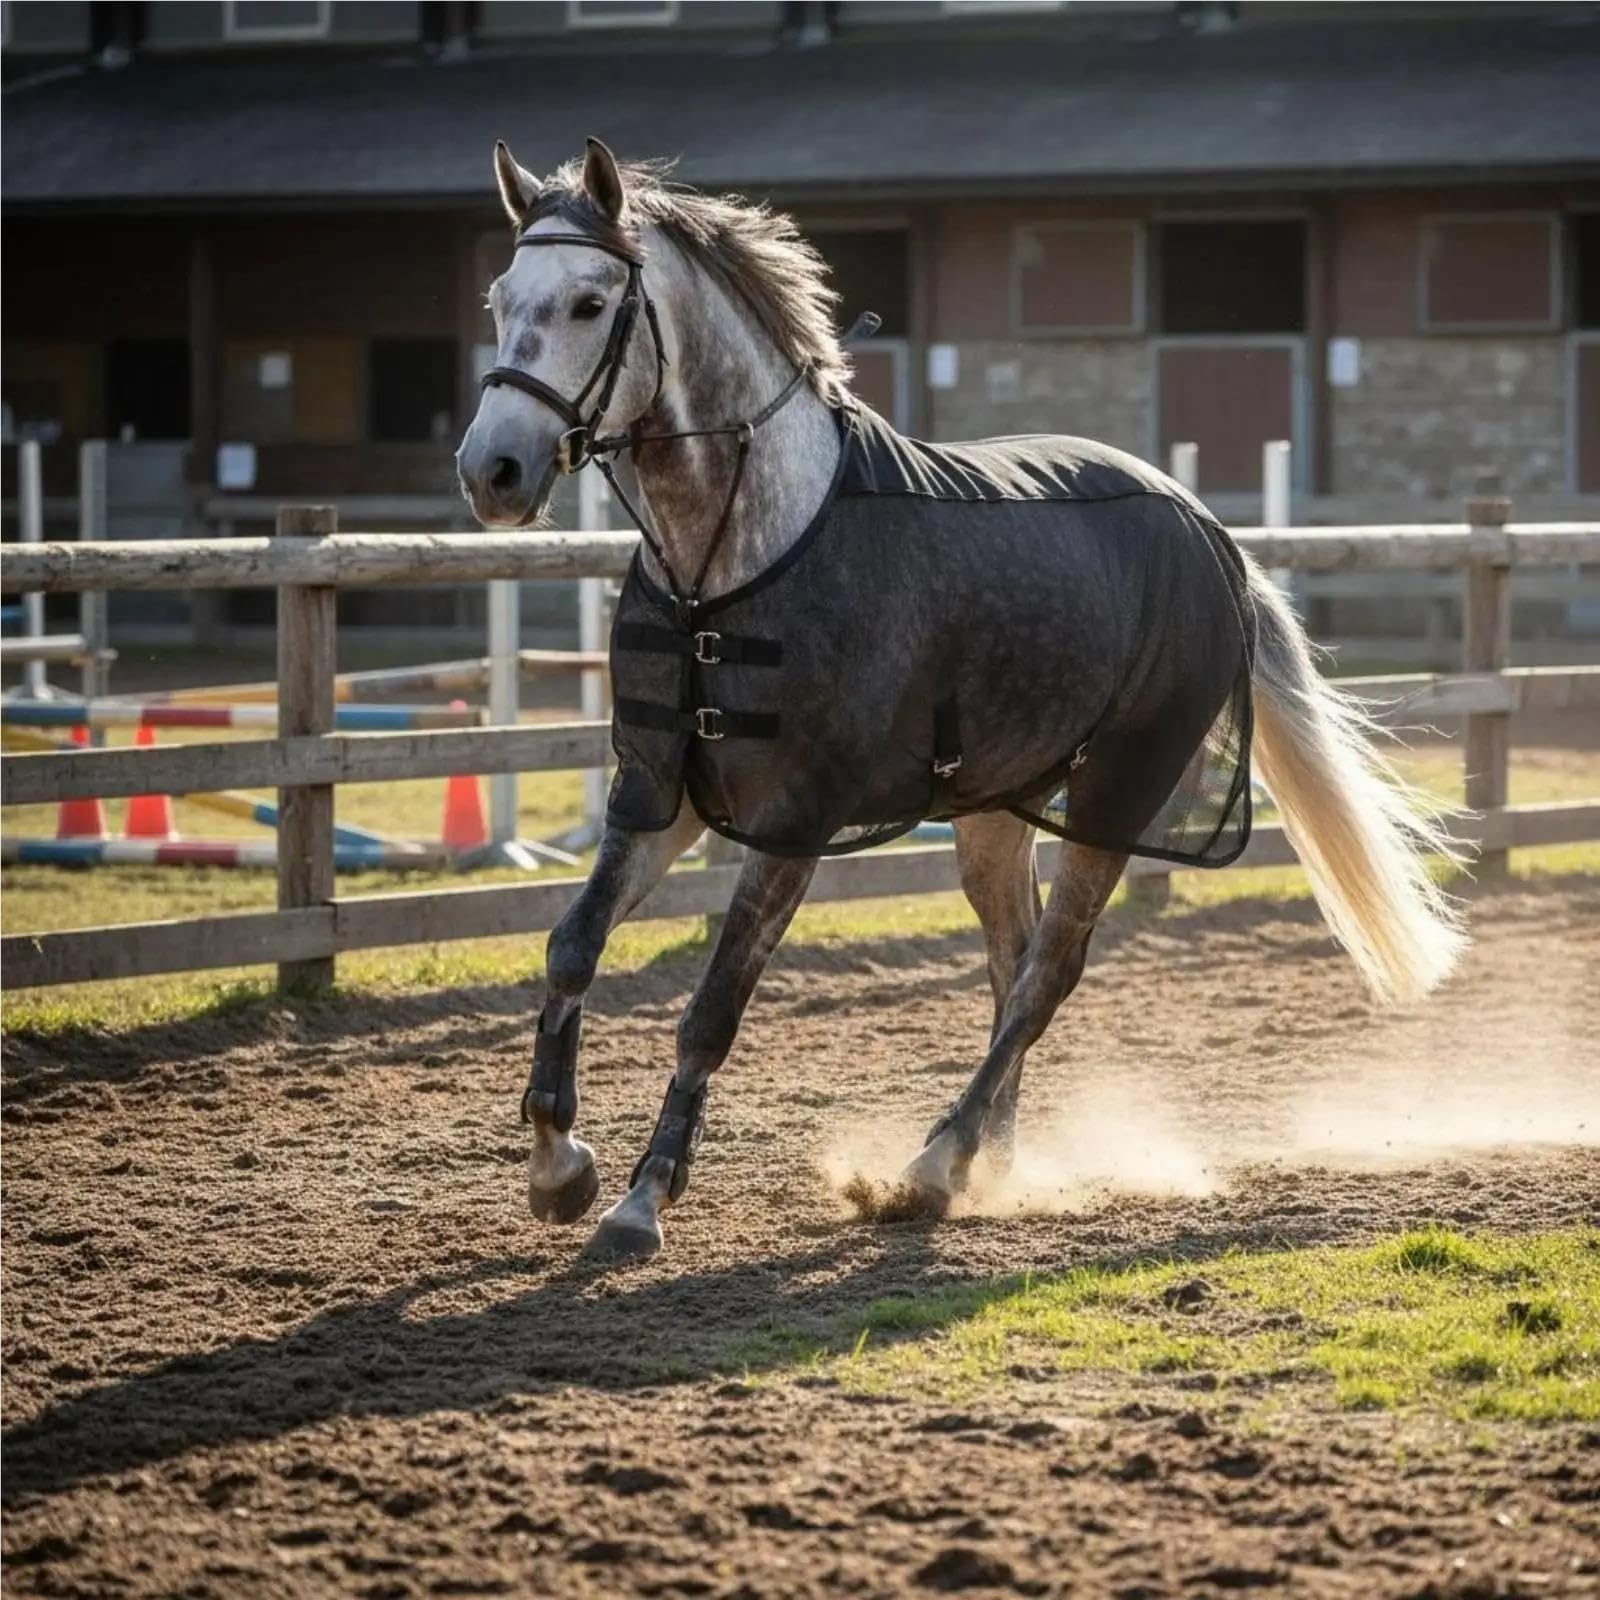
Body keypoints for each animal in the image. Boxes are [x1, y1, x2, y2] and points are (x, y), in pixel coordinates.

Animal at [456, 137, 1468, 1260]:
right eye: (501, 299)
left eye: (591, 302)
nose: (491, 471)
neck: (732, 559)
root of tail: (1209, 533)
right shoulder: (656, 799)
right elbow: (570, 949)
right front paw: (559, 1166)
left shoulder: (793, 824)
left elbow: (712, 1008)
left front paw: (643, 1199)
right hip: (995, 809)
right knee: (1009, 963)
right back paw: (993, 1158)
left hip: (1116, 796)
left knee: (1047, 973)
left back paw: (937, 1163)